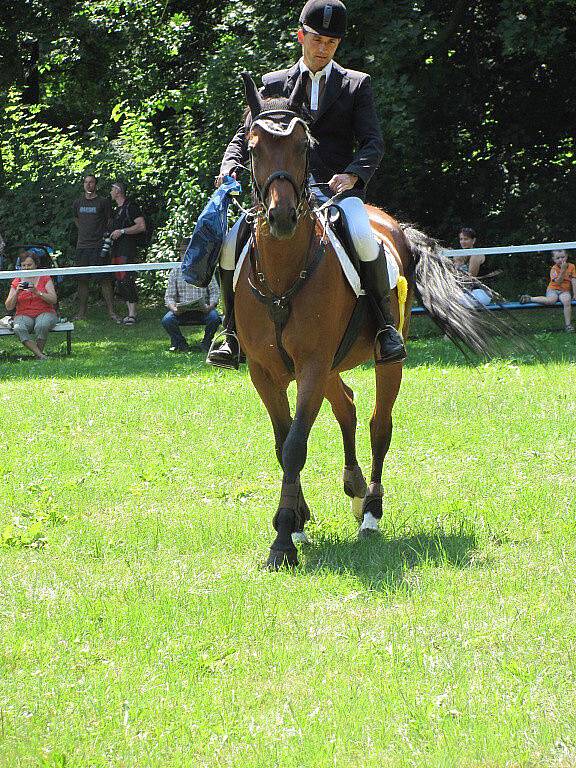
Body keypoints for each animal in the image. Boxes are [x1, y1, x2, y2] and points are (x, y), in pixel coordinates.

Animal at [233, 75, 508, 568]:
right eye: (252, 147)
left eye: (304, 146)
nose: (281, 217)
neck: (285, 271)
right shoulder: (265, 372)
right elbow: (283, 442)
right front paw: (297, 520)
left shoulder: (311, 365)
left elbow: (295, 445)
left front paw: (283, 540)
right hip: (329, 367)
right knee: (346, 405)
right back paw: (355, 488)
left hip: (384, 359)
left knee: (380, 424)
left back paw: (371, 511)